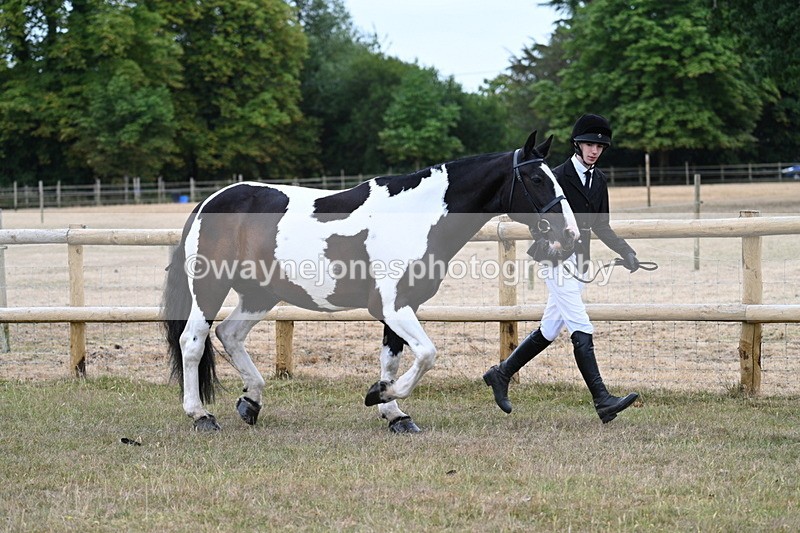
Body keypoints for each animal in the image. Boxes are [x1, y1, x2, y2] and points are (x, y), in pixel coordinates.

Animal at [162, 131, 579, 432]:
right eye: (536, 178)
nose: (570, 234)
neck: (415, 216)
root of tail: (206, 204)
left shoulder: (401, 307)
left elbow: (392, 359)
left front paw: (395, 413)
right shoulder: (391, 306)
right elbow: (427, 354)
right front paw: (379, 395)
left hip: (259, 294)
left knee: (229, 334)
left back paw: (251, 402)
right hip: (210, 288)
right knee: (193, 342)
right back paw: (201, 415)